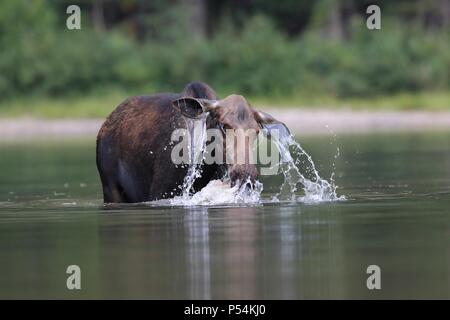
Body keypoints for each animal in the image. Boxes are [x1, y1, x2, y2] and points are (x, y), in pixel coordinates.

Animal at [96, 82, 290, 202]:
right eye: (223, 125)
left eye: (256, 130)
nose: (245, 173)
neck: (205, 164)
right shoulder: (160, 191)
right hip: (110, 188)